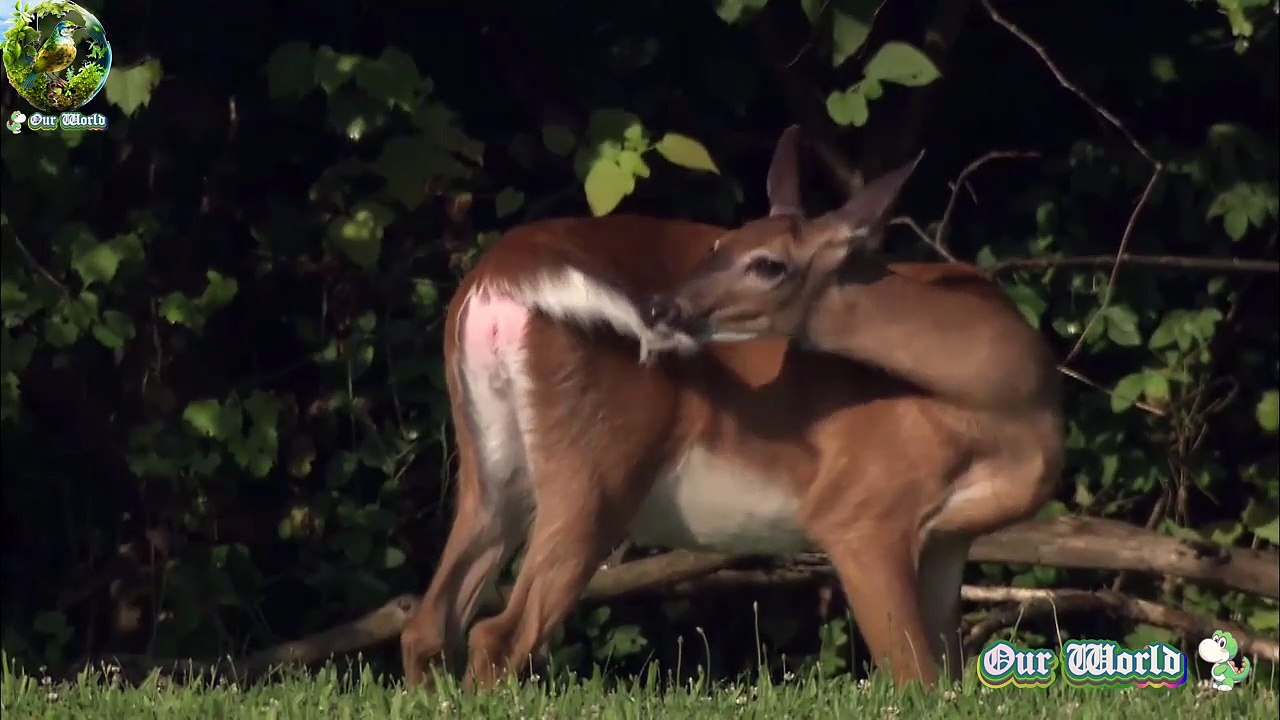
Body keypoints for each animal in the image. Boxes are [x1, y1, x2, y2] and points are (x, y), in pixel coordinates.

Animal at [398, 125, 1064, 691]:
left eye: (765, 261)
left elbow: (949, 676)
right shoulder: (860, 510)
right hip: (599, 463)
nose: (660, 307)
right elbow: (917, 677)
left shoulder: (951, 537)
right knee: (499, 633)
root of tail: (501, 273)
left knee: (430, 622)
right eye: (719, 241)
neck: (1009, 407)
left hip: (491, 460)